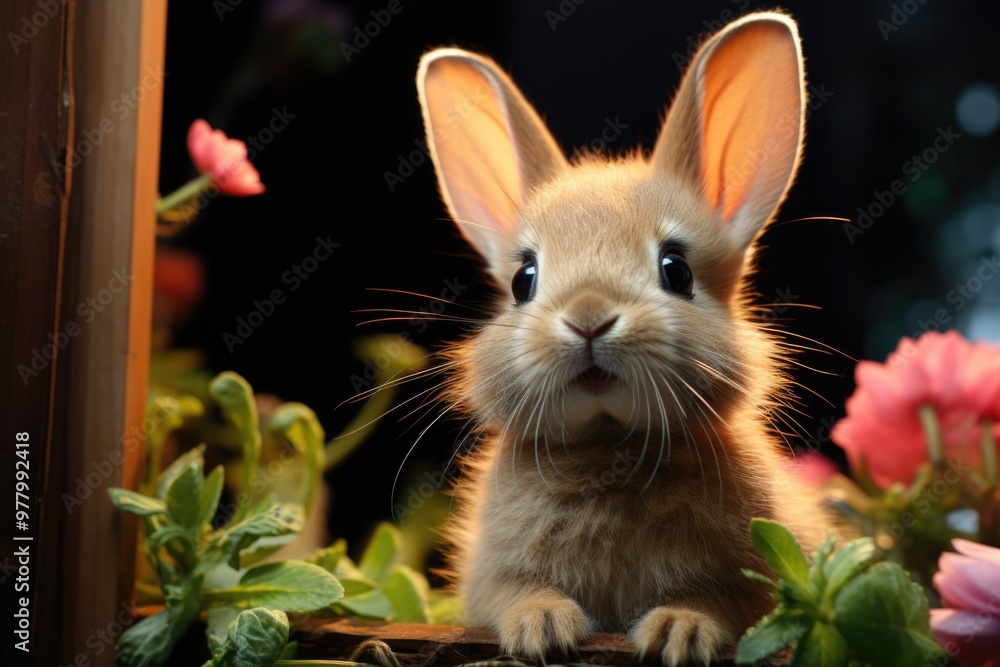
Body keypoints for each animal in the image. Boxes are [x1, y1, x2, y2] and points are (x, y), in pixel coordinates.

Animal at [414, 11, 833, 666]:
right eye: (523, 280)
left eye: (676, 270)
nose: (588, 317)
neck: (607, 445)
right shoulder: (491, 576)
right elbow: (514, 593)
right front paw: (542, 626)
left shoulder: (748, 579)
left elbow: (717, 602)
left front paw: (680, 634)